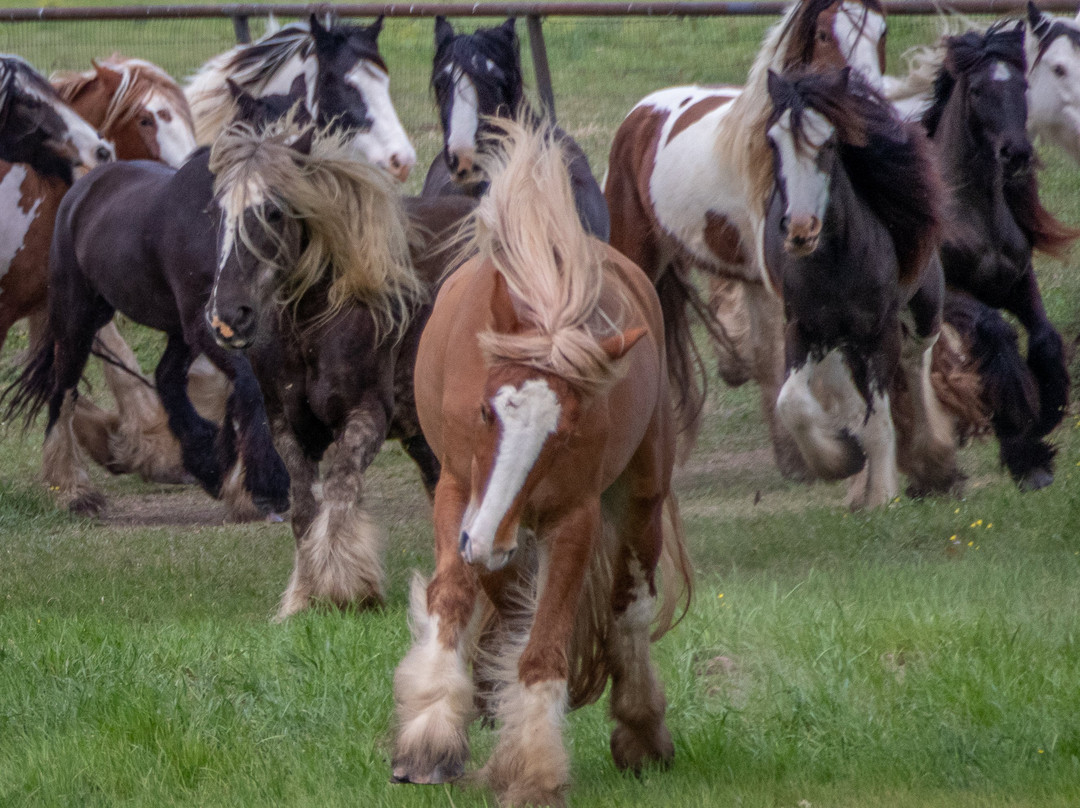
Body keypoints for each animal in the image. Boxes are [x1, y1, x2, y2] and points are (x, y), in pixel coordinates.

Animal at [205, 120, 474, 617]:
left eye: (273, 211)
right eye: (218, 212)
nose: (228, 316)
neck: (312, 326)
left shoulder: (365, 417)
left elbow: (341, 490)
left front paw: (346, 587)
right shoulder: (288, 426)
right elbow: (304, 509)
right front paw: (306, 594)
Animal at [391, 119, 692, 807]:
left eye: (566, 430)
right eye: (485, 411)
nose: (486, 538)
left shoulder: (573, 519)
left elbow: (547, 645)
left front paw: (532, 770)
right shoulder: (457, 491)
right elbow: (453, 598)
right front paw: (430, 738)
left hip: (640, 501)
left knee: (629, 603)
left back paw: (641, 729)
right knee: (506, 604)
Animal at [604, 0, 888, 477]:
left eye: (883, 32)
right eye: (824, 34)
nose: (873, 104)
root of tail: (641, 114)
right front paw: (837, 451)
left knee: (762, 353)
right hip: (638, 256)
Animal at [762, 67, 962, 508]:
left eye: (829, 142)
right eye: (773, 141)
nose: (800, 231)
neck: (837, 263)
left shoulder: (879, 333)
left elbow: (879, 420)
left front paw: (884, 496)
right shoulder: (804, 330)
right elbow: (793, 403)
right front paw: (840, 460)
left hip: (921, 315)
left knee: (917, 366)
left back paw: (934, 461)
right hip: (842, 347)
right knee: (853, 398)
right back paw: (859, 486)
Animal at [921, 21, 1077, 489]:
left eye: (1023, 85)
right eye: (975, 90)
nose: (1016, 153)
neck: (974, 214)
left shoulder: (1020, 282)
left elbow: (1044, 338)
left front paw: (1046, 417)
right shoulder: (954, 298)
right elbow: (995, 334)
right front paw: (1023, 450)